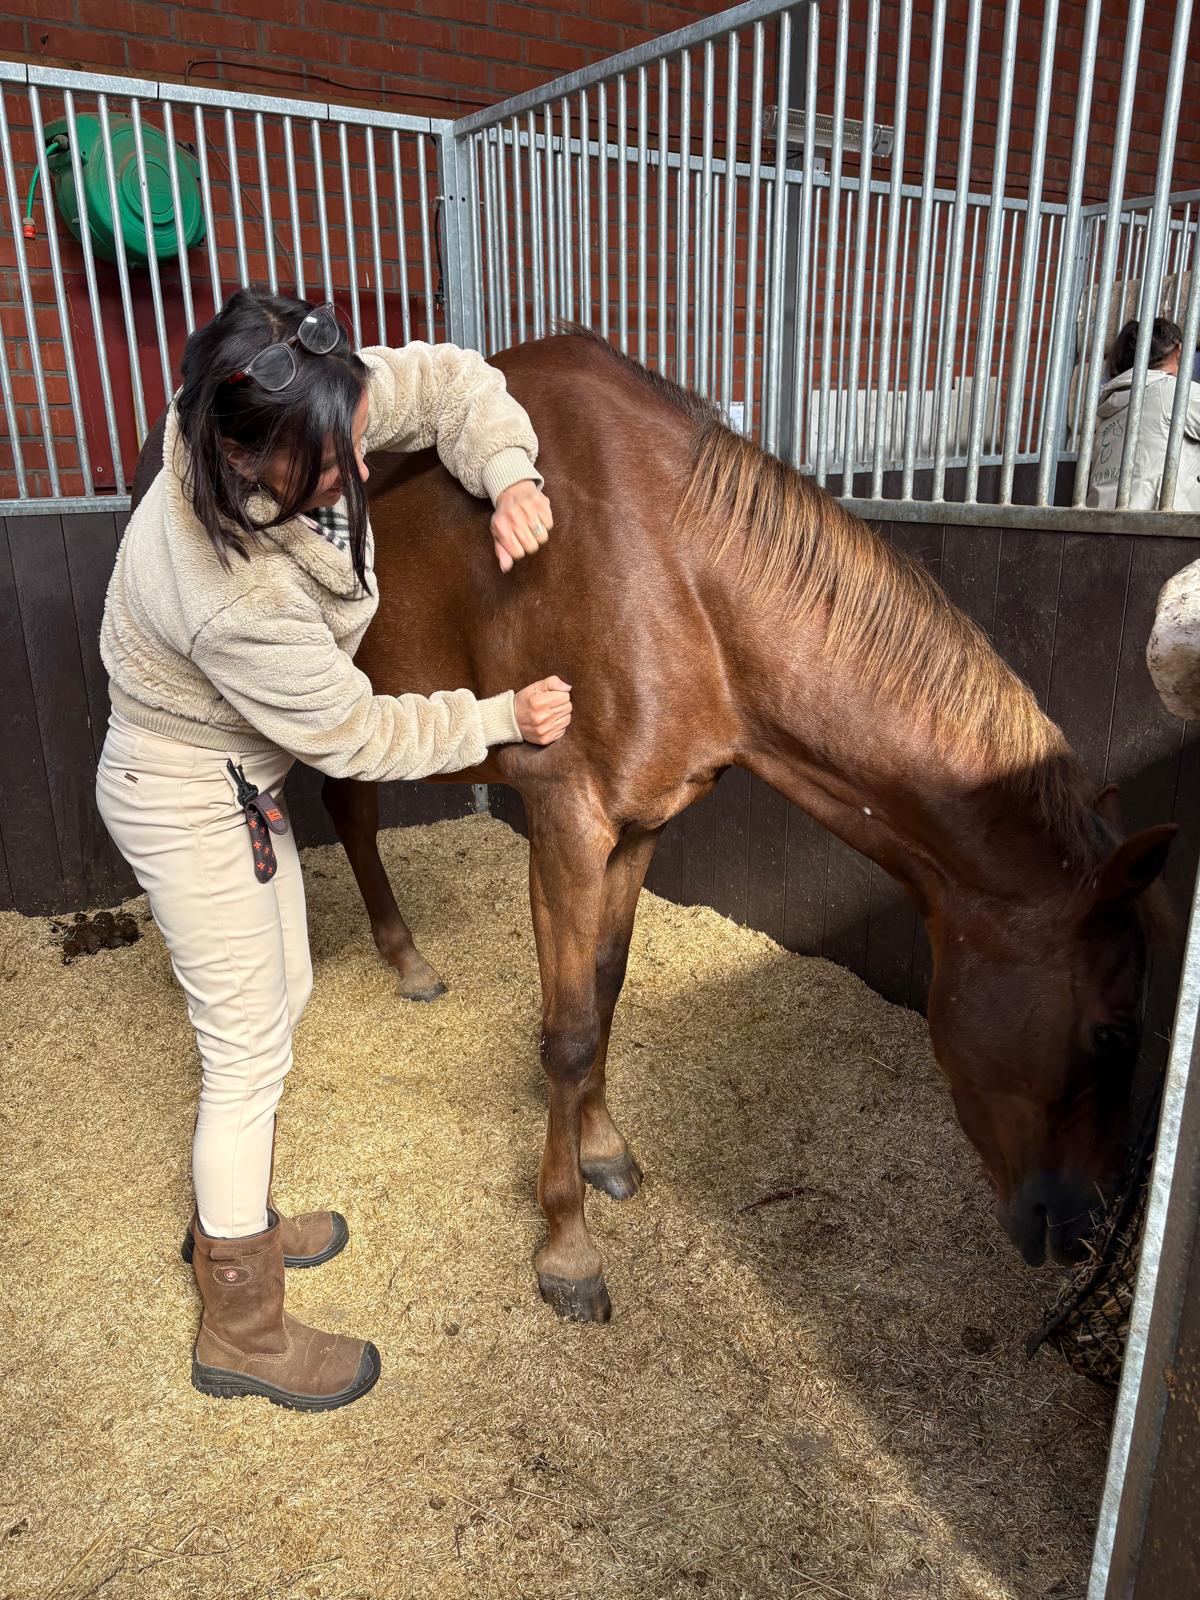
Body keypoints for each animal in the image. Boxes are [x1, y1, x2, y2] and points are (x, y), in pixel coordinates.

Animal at [132, 330, 1176, 1325]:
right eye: (1113, 1033)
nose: (1081, 1229)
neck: (675, 577)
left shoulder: (639, 828)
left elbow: (604, 993)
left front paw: (603, 1153)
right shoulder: (566, 823)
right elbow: (565, 1034)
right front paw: (567, 1248)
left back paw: (408, 959)